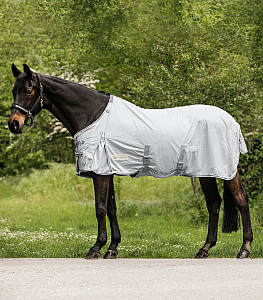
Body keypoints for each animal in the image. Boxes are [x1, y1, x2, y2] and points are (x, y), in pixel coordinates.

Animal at [7, 64, 254, 258]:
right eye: (13, 90)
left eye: (29, 90)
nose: (14, 124)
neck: (92, 115)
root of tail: (231, 121)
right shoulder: (107, 171)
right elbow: (111, 208)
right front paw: (112, 248)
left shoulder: (100, 173)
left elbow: (99, 208)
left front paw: (96, 248)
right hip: (205, 171)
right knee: (213, 203)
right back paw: (204, 249)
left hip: (225, 170)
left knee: (241, 200)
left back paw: (244, 249)